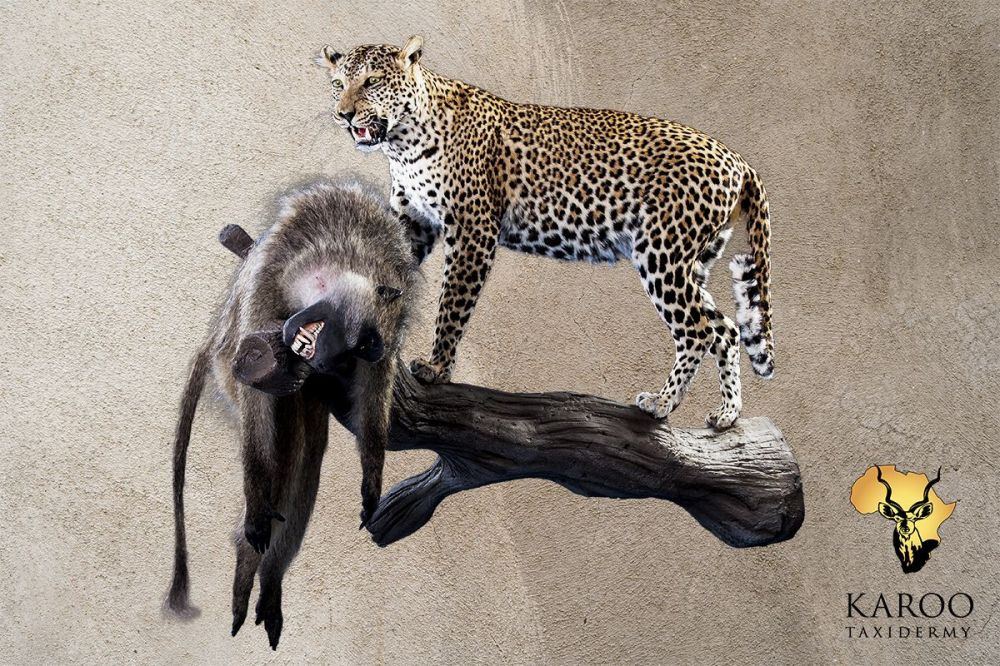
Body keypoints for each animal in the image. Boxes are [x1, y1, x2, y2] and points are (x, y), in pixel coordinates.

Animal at [165, 178, 416, 649]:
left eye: (359, 351)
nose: (323, 362)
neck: (337, 253)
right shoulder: (270, 275)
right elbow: (259, 426)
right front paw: (257, 512)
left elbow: (372, 402)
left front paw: (372, 481)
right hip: (231, 363)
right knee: (278, 449)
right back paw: (248, 562)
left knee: (306, 458)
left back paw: (269, 586)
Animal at [314, 35, 775, 429]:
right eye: (338, 84)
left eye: (372, 81)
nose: (343, 115)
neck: (403, 144)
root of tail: (739, 160)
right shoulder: (414, 221)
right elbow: (388, 271)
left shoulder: (473, 228)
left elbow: (452, 305)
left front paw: (437, 368)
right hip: (693, 260)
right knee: (726, 327)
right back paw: (727, 414)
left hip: (662, 253)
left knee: (698, 330)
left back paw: (662, 403)